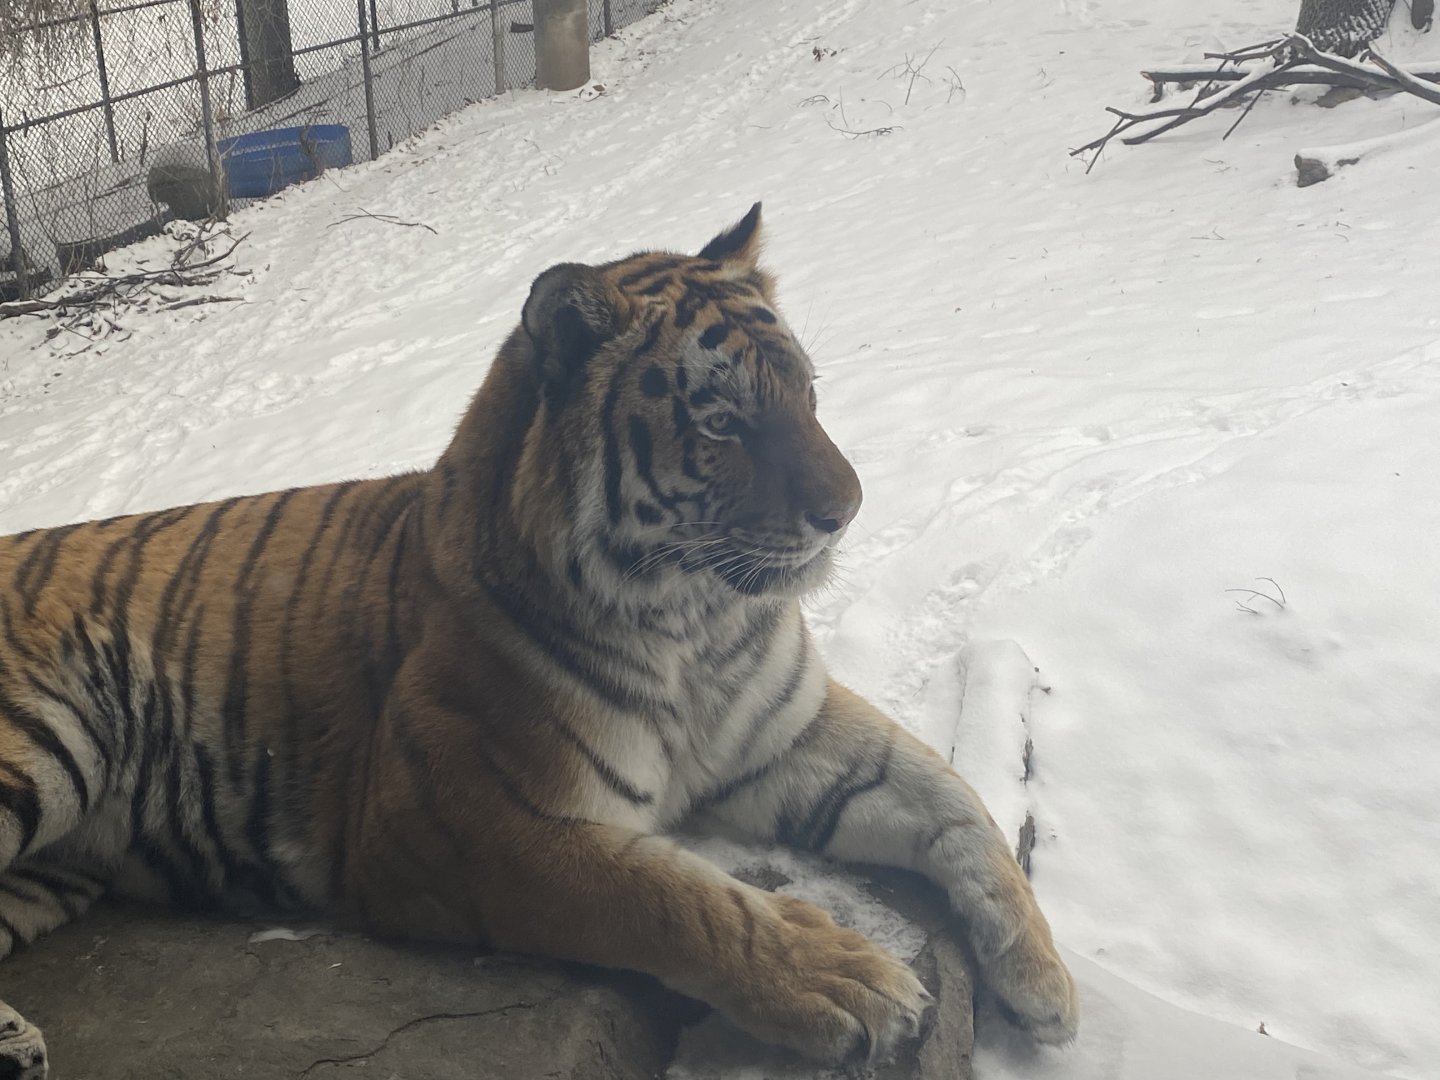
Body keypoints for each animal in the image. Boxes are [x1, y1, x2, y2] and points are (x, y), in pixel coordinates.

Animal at [0, 204, 1077, 1077]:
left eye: (807, 393)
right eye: (722, 422)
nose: (846, 512)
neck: (696, 627)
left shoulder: (788, 734)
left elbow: (955, 800)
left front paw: (1044, 984)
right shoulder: (470, 824)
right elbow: (675, 900)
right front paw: (845, 982)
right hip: (45, 741)